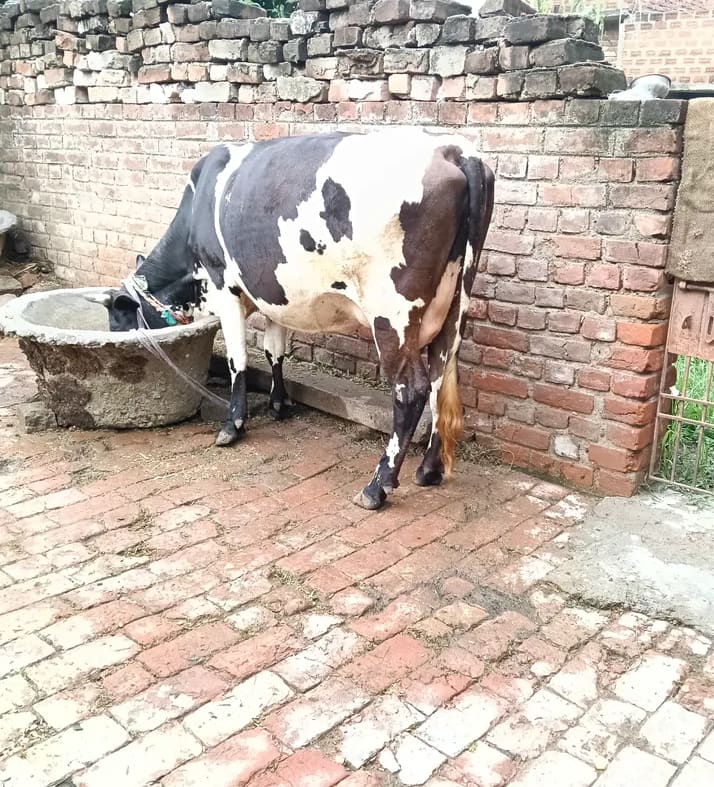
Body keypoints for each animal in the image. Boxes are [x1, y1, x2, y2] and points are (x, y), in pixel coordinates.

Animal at [93, 129, 494, 510]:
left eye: (119, 320)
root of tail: (455, 151)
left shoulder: (225, 286)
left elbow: (238, 359)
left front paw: (232, 426)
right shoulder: (276, 295)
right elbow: (275, 350)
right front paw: (279, 404)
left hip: (393, 313)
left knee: (411, 389)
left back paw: (376, 487)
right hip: (453, 304)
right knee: (442, 375)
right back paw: (429, 470)